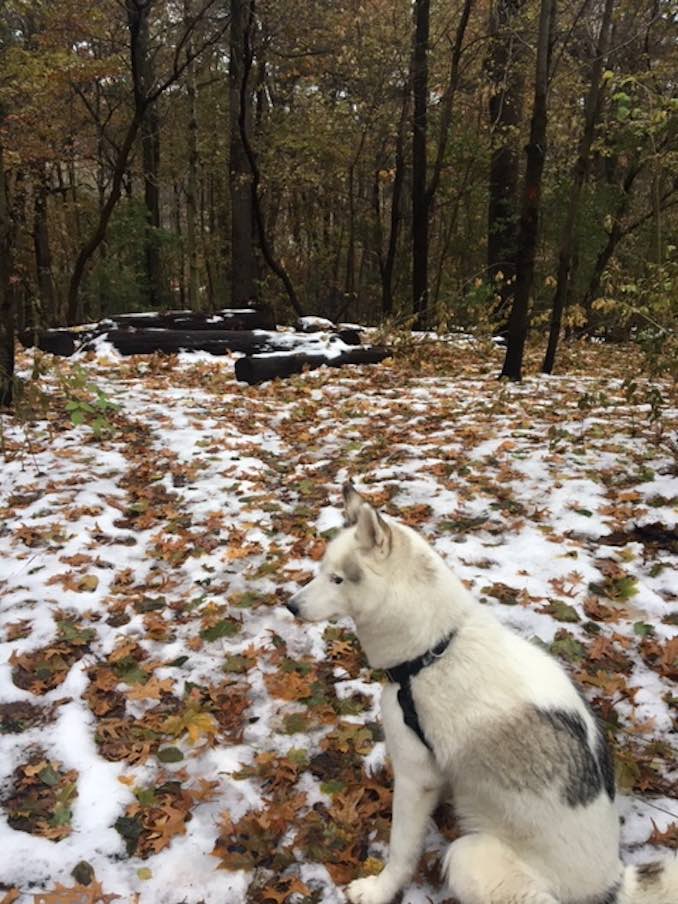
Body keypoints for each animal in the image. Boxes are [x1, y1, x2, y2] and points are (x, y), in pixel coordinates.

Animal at [286, 484, 678, 904]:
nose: (290, 605)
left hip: (468, 856)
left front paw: (380, 889)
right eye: (323, 571)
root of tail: (612, 882)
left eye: (337, 579)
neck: (432, 651)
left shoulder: (414, 775)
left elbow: (401, 851)